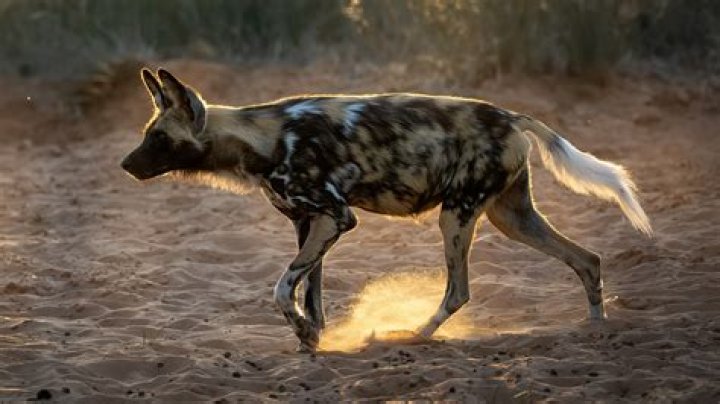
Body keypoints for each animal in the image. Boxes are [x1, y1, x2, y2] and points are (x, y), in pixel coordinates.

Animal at [122, 68, 651, 352]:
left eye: (158, 138)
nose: (125, 165)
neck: (264, 139)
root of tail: (510, 115)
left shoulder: (337, 218)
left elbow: (280, 289)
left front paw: (307, 335)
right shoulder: (309, 225)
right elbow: (309, 296)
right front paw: (311, 341)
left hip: (455, 216)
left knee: (459, 291)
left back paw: (415, 335)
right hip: (512, 218)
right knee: (587, 259)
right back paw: (596, 329)